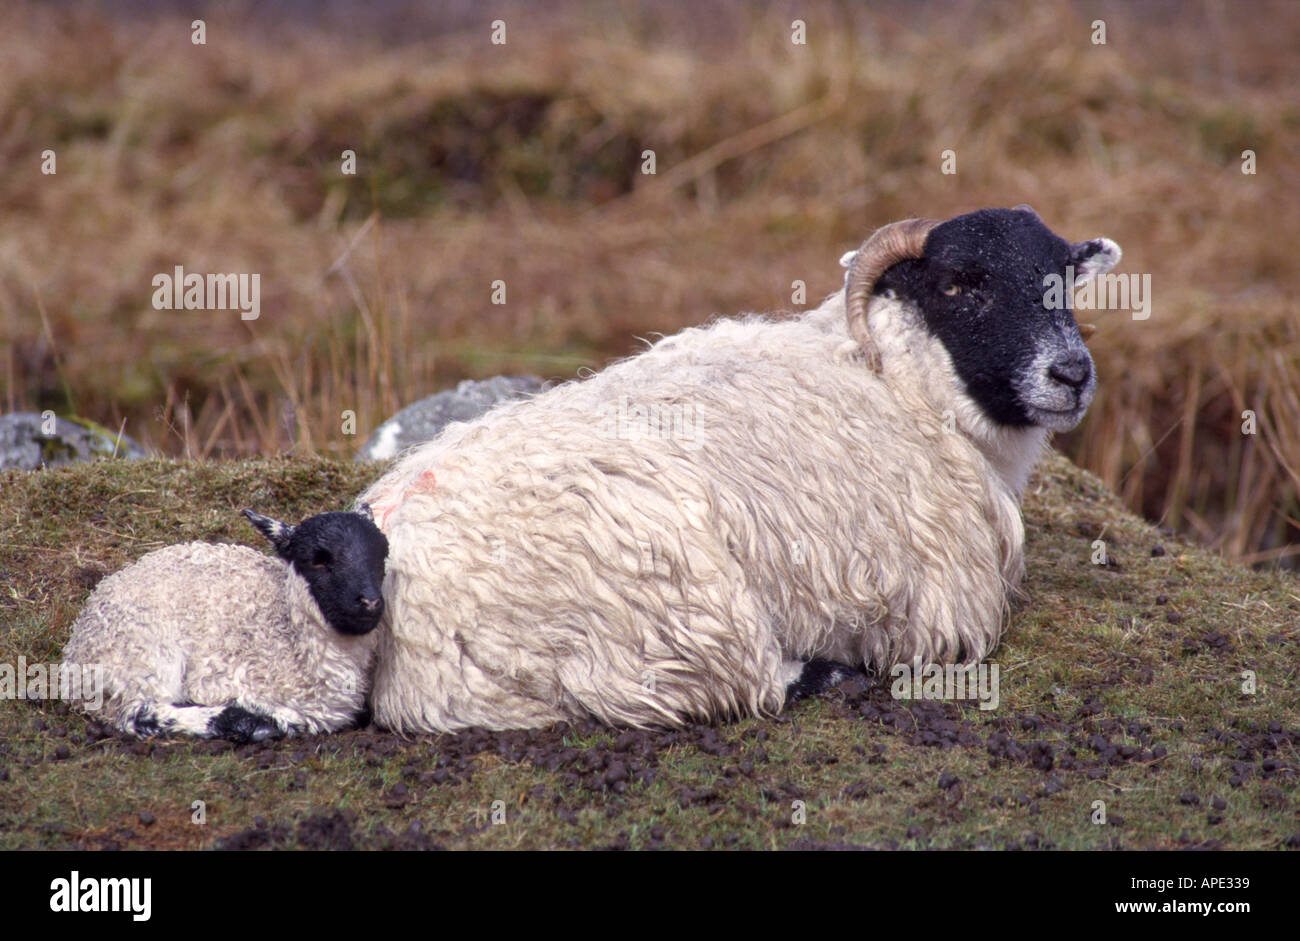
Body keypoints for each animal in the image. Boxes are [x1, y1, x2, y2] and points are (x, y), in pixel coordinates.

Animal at [62, 504, 384, 738]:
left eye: (382, 557)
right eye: (318, 560)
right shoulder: (217, 677)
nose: (369, 602)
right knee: (136, 713)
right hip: (142, 654)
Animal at [353, 205, 1118, 733]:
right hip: (679, 608)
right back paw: (826, 670)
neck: (905, 381)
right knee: (739, 683)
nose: (1073, 374)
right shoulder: (942, 605)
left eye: (1062, 280)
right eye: (960, 284)